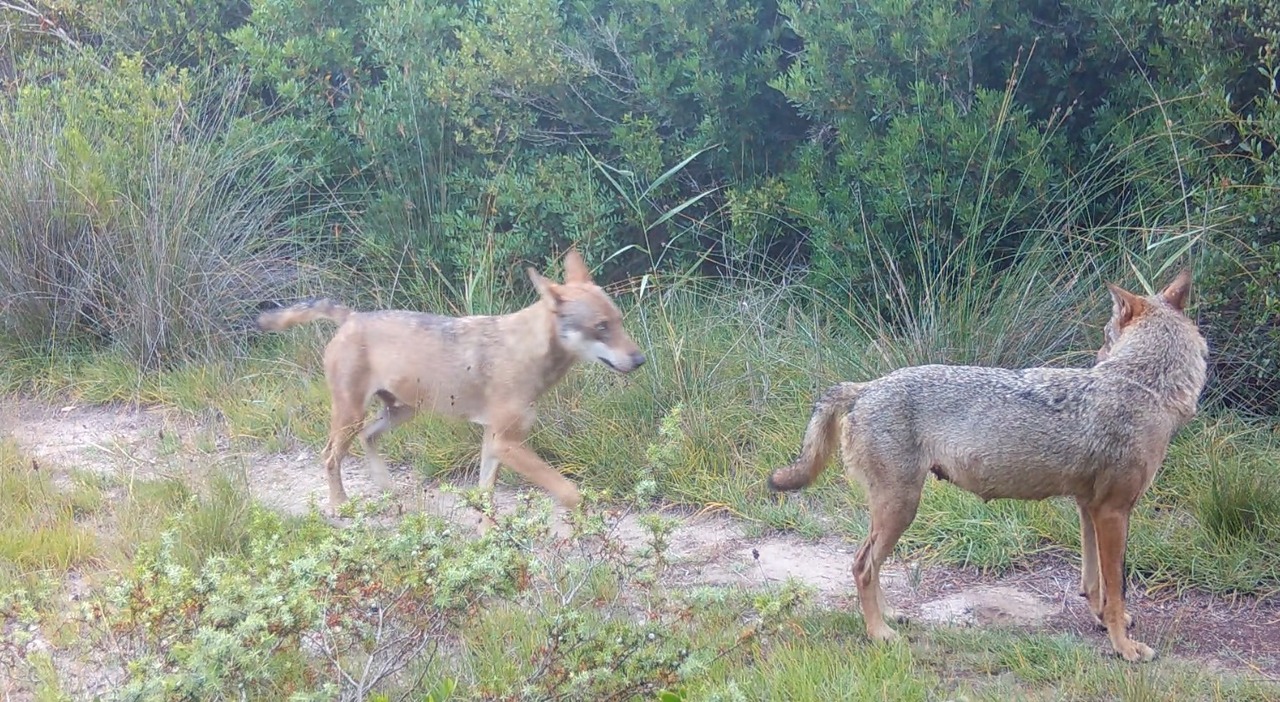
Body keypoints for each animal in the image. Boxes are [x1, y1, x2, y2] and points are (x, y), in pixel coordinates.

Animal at [256, 251, 645, 520]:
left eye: (618, 321)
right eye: (601, 327)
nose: (640, 359)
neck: (526, 352)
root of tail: (352, 316)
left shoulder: (494, 443)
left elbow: (486, 498)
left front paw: (489, 542)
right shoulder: (507, 443)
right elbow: (569, 493)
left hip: (399, 412)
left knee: (368, 438)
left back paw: (387, 489)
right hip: (351, 416)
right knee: (329, 457)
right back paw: (340, 506)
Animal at [762, 270, 1203, 666]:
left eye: (1106, 336)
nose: (1095, 358)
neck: (1146, 385)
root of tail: (864, 388)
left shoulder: (1089, 508)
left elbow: (1095, 582)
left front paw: (1104, 622)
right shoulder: (1113, 511)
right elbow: (1117, 586)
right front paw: (1124, 647)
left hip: (894, 512)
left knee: (869, 564)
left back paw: (890, 616)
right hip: (902, 509)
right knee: (861, 565)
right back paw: (879, 634)